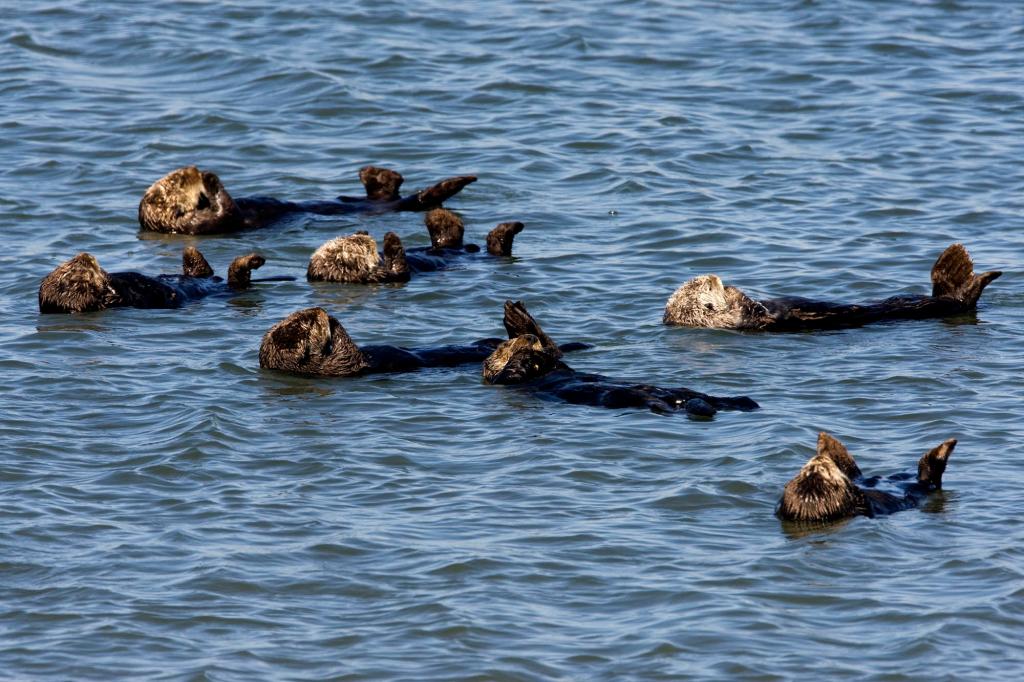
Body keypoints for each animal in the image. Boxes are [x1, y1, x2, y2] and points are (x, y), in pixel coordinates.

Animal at [39, 247, 282, 313]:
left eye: (70, 263)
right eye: (81, 270)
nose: (87, 256)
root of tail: (218, 284)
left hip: (204, 276)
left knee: (203, 271)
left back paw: (190, 251)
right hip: (233, 285)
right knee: (237, 278)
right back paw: (253, 260)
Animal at [305, 209, 524, 283]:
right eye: (360, 245)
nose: (364, 233)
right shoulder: (385, 276)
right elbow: (400, 269)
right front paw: (391, 240)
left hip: (450, 245)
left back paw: (439, 218)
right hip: (492, 249)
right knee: (497, 246)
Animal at [483, 301, 759, 416]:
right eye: (503, 346)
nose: (529, 339)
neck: (541, 371)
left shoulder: (557, 364)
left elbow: (556, 355)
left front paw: (522, 320)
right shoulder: (508, 382)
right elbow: (509, 373)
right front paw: (523, 351)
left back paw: (745, 401)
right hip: (635, 400)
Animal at [776, 432, 956, 523]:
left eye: (807, 471)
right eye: (825, 471)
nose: (819, 459)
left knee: (853, 470)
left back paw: (826, 441)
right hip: (926, 483)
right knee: (929, 472)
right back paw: (947, 446)